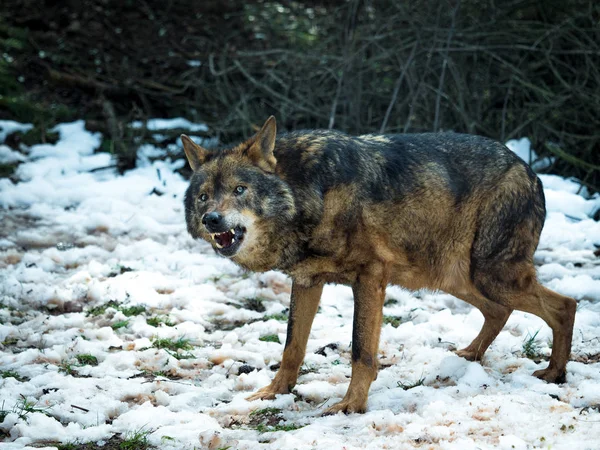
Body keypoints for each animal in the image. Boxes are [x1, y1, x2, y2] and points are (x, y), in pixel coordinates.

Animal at [182, 117, 576, 414]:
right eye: (203, 196)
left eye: (240, 190)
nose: (211, 220)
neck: (309, 195)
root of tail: (530, 171)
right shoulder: (308, 282)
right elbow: (292, 346)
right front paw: (274, 391)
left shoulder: (370, 278)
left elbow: (361, 352)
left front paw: (351, 405)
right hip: (455, 278)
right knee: (500, 311)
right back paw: (471, 355)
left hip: (490, 276)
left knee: (565, 305)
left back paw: (554, 373)